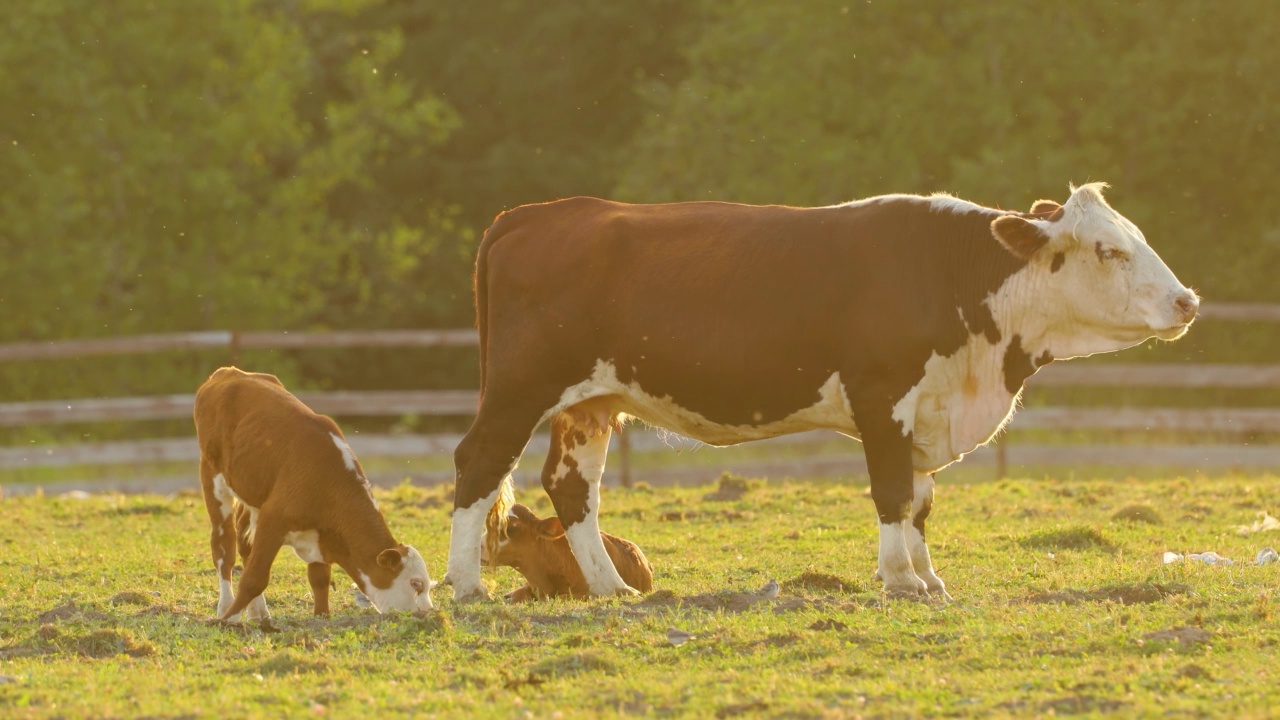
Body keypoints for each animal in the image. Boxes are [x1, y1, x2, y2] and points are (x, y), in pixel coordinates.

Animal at [193, 366, 435, 620]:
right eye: (416, 584)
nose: (428, 613)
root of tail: (230, 372)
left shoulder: (319, 537)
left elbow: (319, 579)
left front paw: (322, 616)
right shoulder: (273, 518)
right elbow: (254, 578)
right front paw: (229, 620)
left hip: (251, 494)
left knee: (245, 543)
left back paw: (258, 612)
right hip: (212, 476)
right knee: (224, 547)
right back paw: (225, 607)